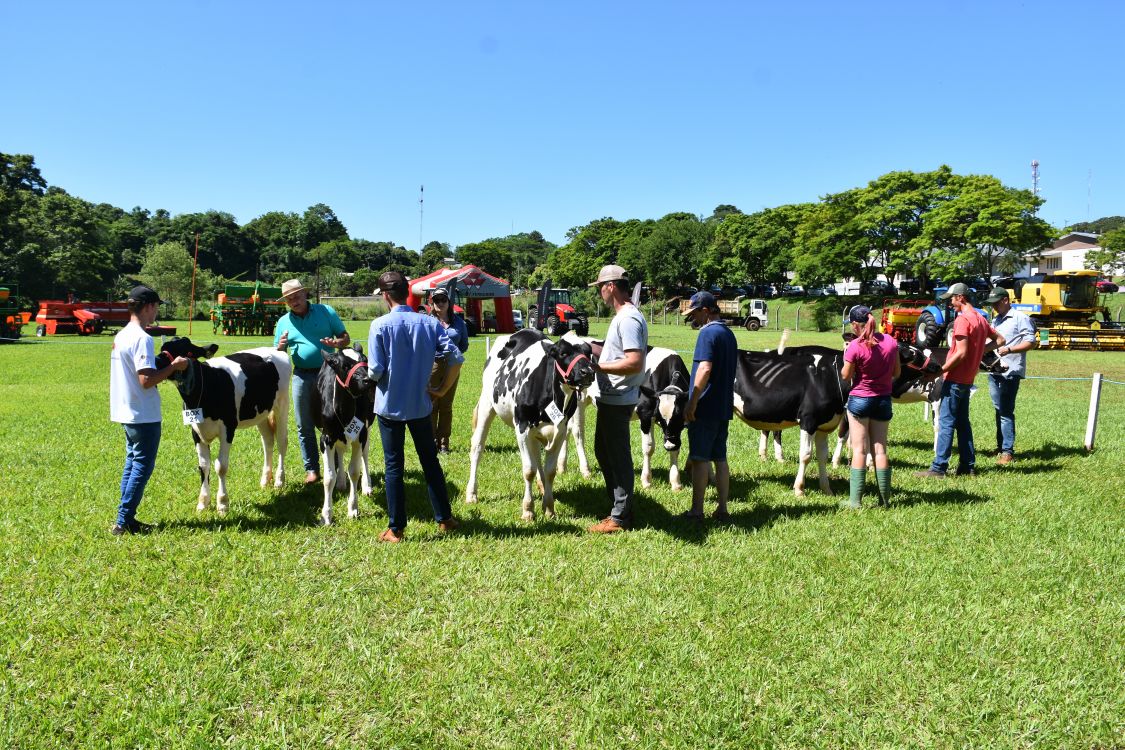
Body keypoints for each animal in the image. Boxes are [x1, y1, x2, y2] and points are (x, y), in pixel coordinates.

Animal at [158, 337, 291, 514]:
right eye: (163, 348)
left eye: (188, 352)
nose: (158, 361)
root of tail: (276, 349)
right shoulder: (196, 432)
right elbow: (203, 466)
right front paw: (203, 502)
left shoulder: (227, 429)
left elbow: (221, 466)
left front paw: (222, 503)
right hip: (261, 413)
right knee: (268, 441)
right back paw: (265, 481)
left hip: (282, 404)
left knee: (282, 442)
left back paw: (279, 481)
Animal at [310, 345, 376, 526]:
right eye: (345, 365)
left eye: (365, 360)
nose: (369, 380)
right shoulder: (326, 438)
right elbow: (329, 477)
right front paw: (326, 515)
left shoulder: (360, 435)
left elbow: (354, 471)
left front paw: (353, 508)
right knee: (339, 453)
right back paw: (340, 482)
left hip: (367, 427)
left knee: (365, 455)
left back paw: (367, 485)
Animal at [466, 329, 596, 521]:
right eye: (563, 353)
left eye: (588, 352)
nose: (588, 372)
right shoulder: (522, 428)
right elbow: (529, 470)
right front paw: (528, 510)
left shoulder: (560, 431)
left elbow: (550, 471)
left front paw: (549, 507)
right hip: (486, 404)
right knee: (477, 447)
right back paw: (472, 494)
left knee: (536, 456)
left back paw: (541, 487)